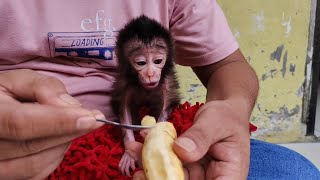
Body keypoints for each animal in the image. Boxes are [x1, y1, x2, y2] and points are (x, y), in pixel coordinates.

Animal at [111, 15, 180, 176]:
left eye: (157, 61)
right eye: (141, 62)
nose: (150, 73)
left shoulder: (167, 82)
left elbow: (166, 105)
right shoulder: (125, 83)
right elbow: (123, 109)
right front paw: (129, 151)